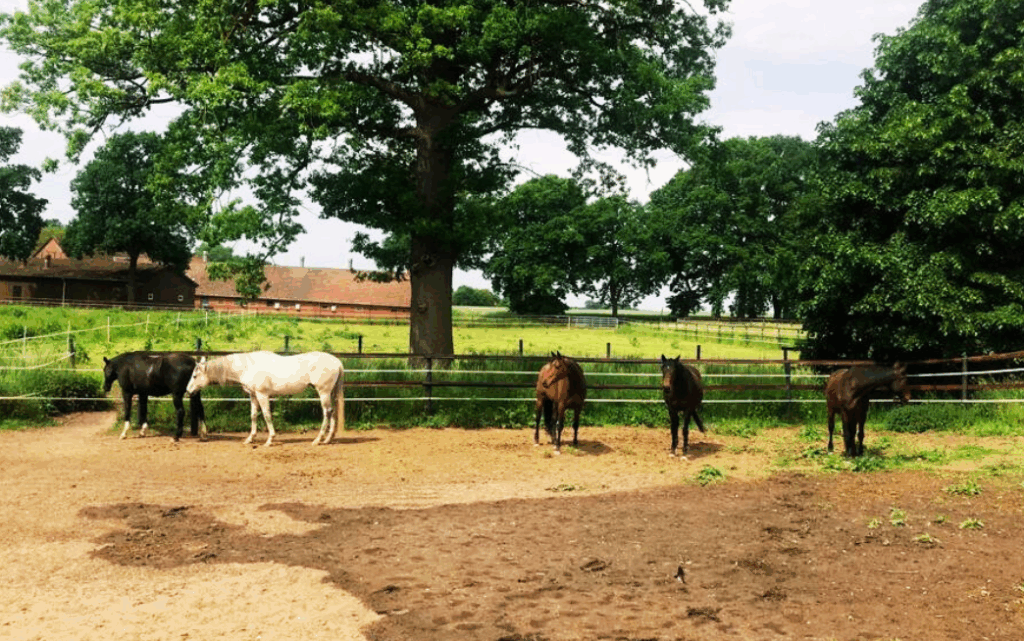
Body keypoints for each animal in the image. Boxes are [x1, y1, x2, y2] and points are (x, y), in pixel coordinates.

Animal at [185, 351, 344, 447]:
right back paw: (328, 439)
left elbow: (267, 415)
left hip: (323, 392)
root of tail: (337, 362)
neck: (247, 366)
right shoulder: (253, 395)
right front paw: (250, 439)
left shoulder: (263, 395)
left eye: (195, 376)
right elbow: (254, 415)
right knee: (332, 411)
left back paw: (318, 440)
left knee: (327, 412)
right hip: (330, 393)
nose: (188, 391)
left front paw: (270, 440)